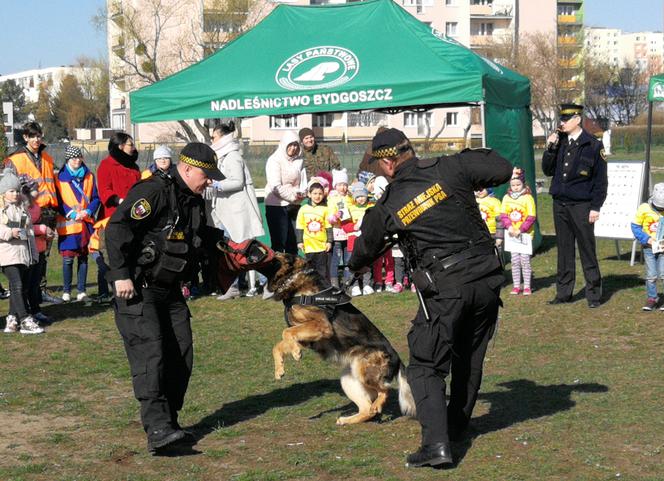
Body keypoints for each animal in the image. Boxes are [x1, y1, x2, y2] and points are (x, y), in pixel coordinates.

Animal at [260, 251, 416, 424]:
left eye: (272, 257)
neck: (294, 278)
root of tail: (397, 359)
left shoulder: (321, 326)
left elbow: (286, 332)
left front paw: (295, 352)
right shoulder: (305, 336)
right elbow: (279, 344)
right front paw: (279, 369)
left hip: (364, 373)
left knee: (385, 390)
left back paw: (377, 404)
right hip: (348, 379)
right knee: (367, 409)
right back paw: (348, 419)